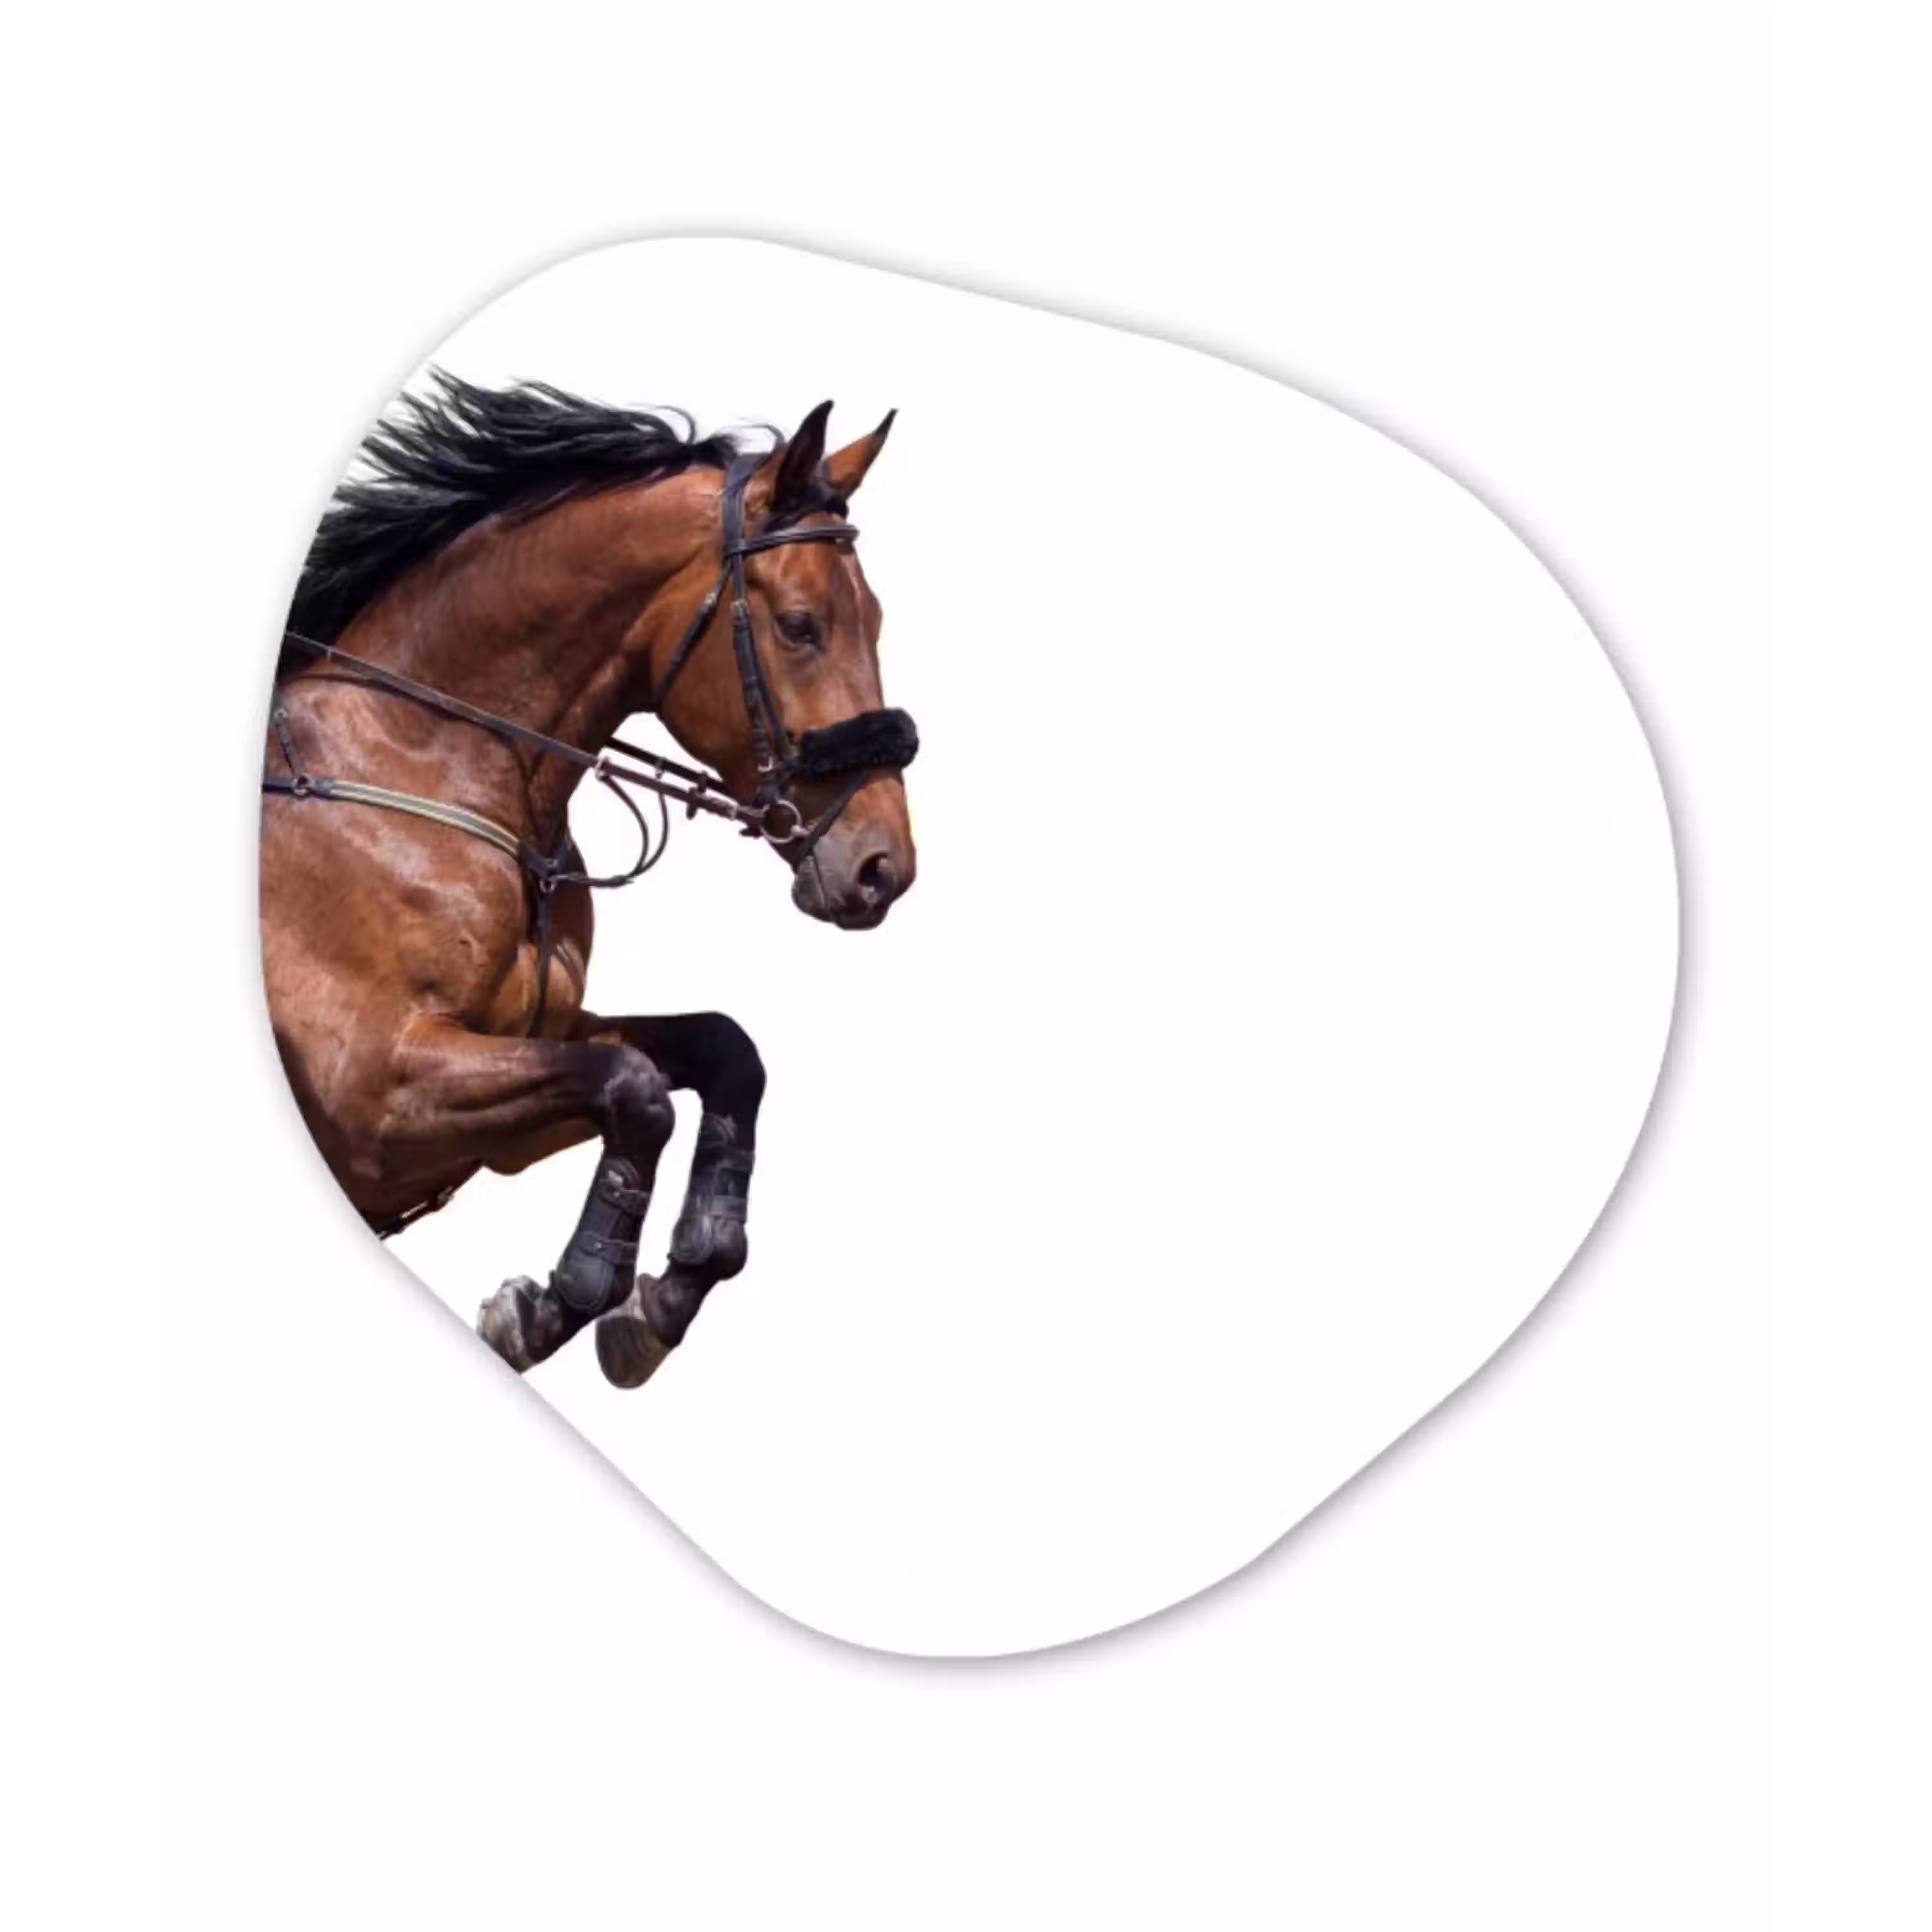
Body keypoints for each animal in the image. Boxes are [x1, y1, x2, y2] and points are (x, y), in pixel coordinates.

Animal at [259, 373, 919, 1389]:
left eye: (876, 619)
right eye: (801, 626)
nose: (885, 868)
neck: (430, 761)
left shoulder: (513, 1082)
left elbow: (720, 1051)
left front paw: (667, 1293)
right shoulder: (374, 1095)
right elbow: (634, 1087)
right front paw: (558, 1303)